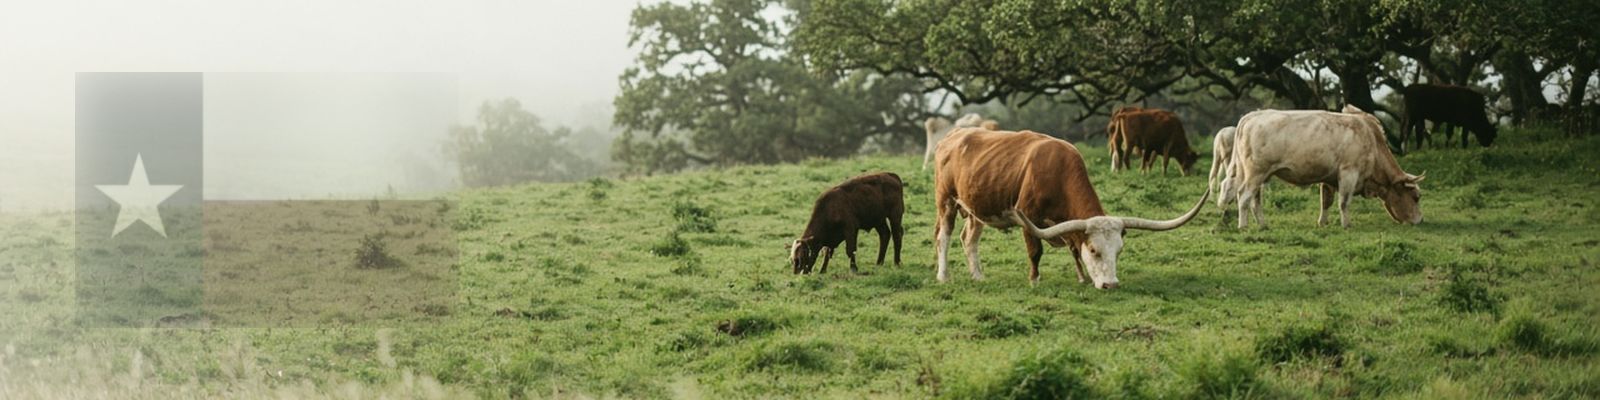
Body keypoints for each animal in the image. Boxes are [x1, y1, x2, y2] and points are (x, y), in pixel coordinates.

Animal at [932, 128, 1208, 289]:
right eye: (1095, 250)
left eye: (1119, 250)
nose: (1111, 285)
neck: (1057, 170)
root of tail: (952, 135)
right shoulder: (1028, 219)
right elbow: (1035, 251)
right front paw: (1034, 280)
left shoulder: (1067, 225)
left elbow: (1074, 250)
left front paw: (1082, 277)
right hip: (946, 201)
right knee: (944, 237)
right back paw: (944, 276)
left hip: (977, 208)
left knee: (969, 239)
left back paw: (977, 275)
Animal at [1230, 106, 1425, 229]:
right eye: (1415, 197)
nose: (1420, 221)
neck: (1371, 139)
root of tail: (1253, 115)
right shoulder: (1348, 173)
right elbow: (1344, 202)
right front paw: (1346, 225)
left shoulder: (1329, 179)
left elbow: (1326, 201)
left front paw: (1322, 223)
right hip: (1256, 173)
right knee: (1244, 196)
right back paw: (1243, 226)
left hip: (1260, 176)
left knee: (1255, 201)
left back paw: (1262, 225)